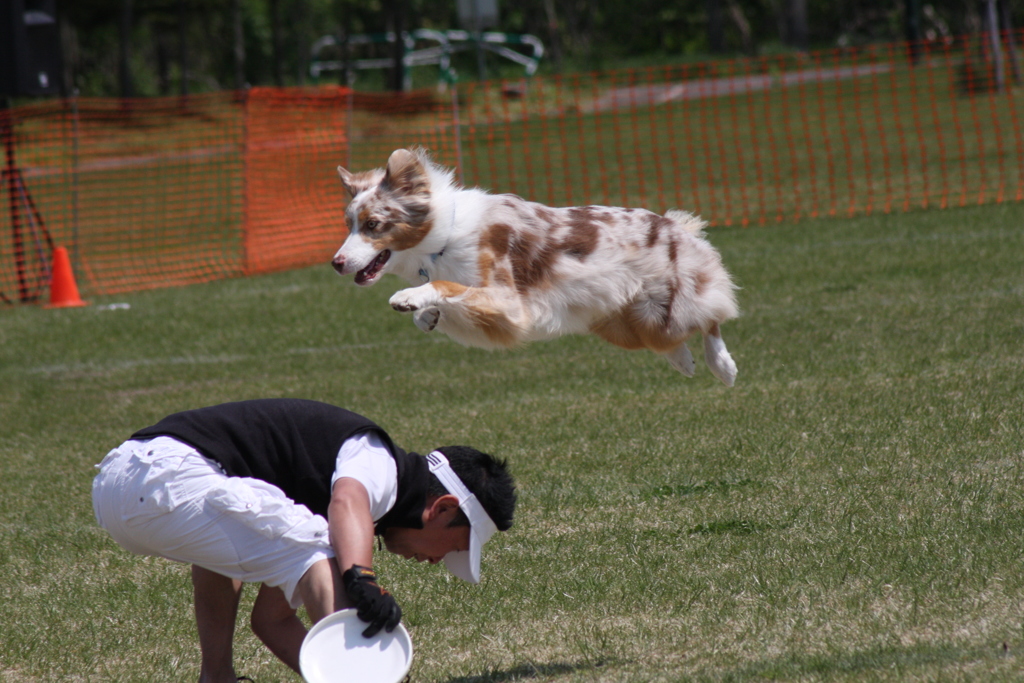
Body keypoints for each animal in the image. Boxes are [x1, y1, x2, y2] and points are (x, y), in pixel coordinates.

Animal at [331, 148, 741, 385]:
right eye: (349, 223)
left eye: (373, 225)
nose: (336, 263)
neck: (442, 237)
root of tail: (673, 225)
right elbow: (440, 300)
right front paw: (425, 313)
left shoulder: (507, 302)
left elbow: (446, 286)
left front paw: (409, 297)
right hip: (620, 320)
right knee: (669, 340)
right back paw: (684, 362)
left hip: (665, 308)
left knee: (711, 316)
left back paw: (723, 365)